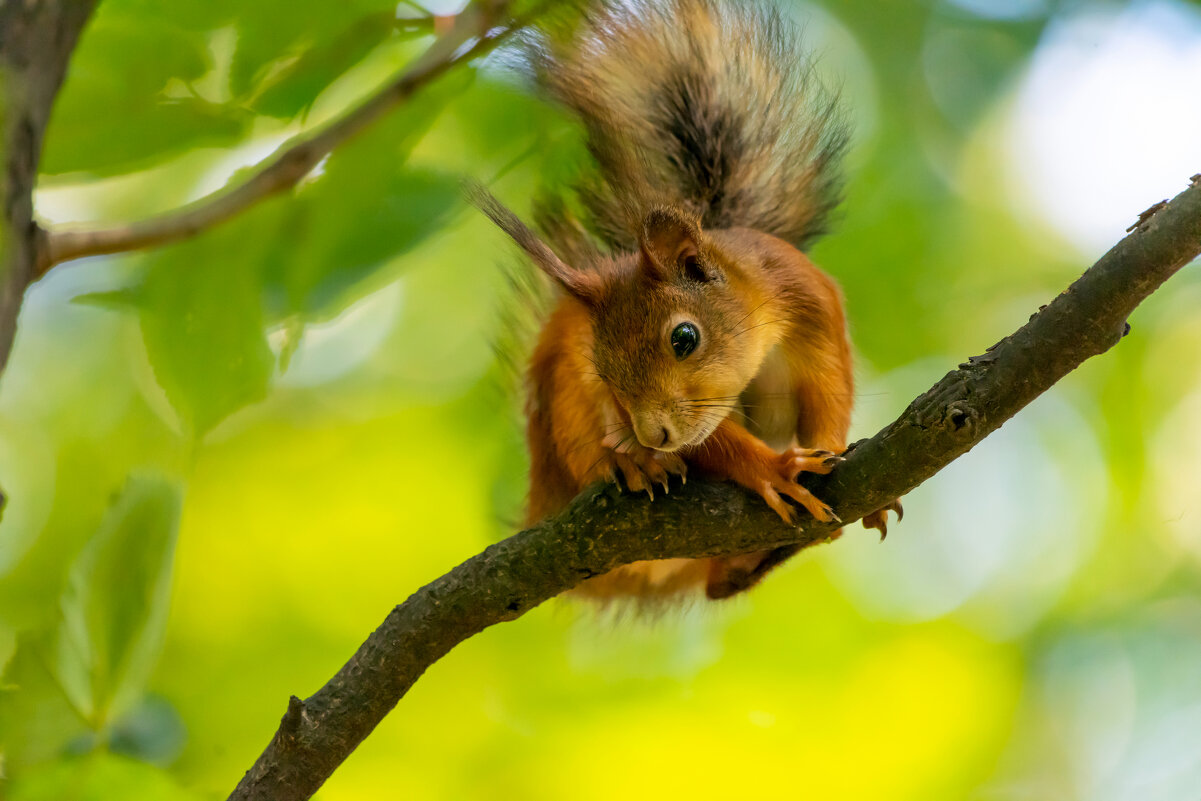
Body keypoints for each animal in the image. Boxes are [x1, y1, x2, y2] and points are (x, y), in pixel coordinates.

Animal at [468, 0, 903, 600]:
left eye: (684, 337)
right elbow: (710, 443)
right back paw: (631, 468)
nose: (652, 436)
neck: (761, 327)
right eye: (604, 371)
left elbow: (830, 396)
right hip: (560, 405)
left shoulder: (815, 312)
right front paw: (772, 470)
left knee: (722, 585)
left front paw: (843, 459)